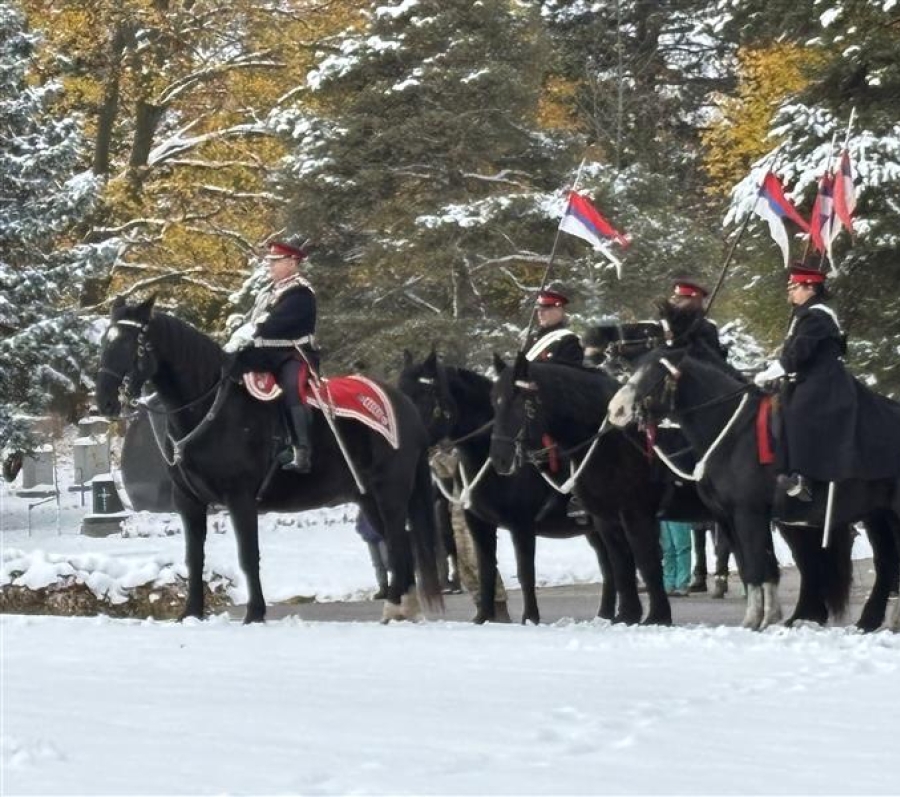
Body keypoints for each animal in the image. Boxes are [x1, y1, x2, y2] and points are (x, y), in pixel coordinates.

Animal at [94, 296, 443, 623]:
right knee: (398, 542)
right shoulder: (189, 502)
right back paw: (401, 607)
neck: (211, 407)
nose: (104, 401)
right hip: (367, 496)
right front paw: (191, 613)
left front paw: (255, 613)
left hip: (390, 492)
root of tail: (404, 406)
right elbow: (194, 558)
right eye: (106, 342)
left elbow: (249, 555)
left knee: (398, 540)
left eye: (130, 341)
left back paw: (397, 606)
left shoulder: (240, 498)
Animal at [398, 350, 618, 624]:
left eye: (424, 395)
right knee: (608, 563)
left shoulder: (521, 525)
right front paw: (483, 617)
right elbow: (486, 568)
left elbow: (525, 572)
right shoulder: (478, 525)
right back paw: (605, 613)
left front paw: (530, 618)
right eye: (400, 392)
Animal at [487, 353, 699, 626]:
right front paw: (627, 615)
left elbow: (646, 560)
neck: (611, 442)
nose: (500, 461)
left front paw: (657, 617)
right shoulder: (605, 519)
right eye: (494, 402)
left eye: (523, 403)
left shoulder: (636, 514)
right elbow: (621, 564)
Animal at [608, 348, 900, 632]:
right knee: (881, 562)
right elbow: (754, 566)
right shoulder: (730, 518)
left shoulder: (748, 513)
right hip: (877, 515)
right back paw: (867, 620)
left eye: (657, 375)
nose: (616, 409)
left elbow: (757, 565)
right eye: (634, 369)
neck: (731, 434)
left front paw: (758, 620)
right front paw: (764, 617)